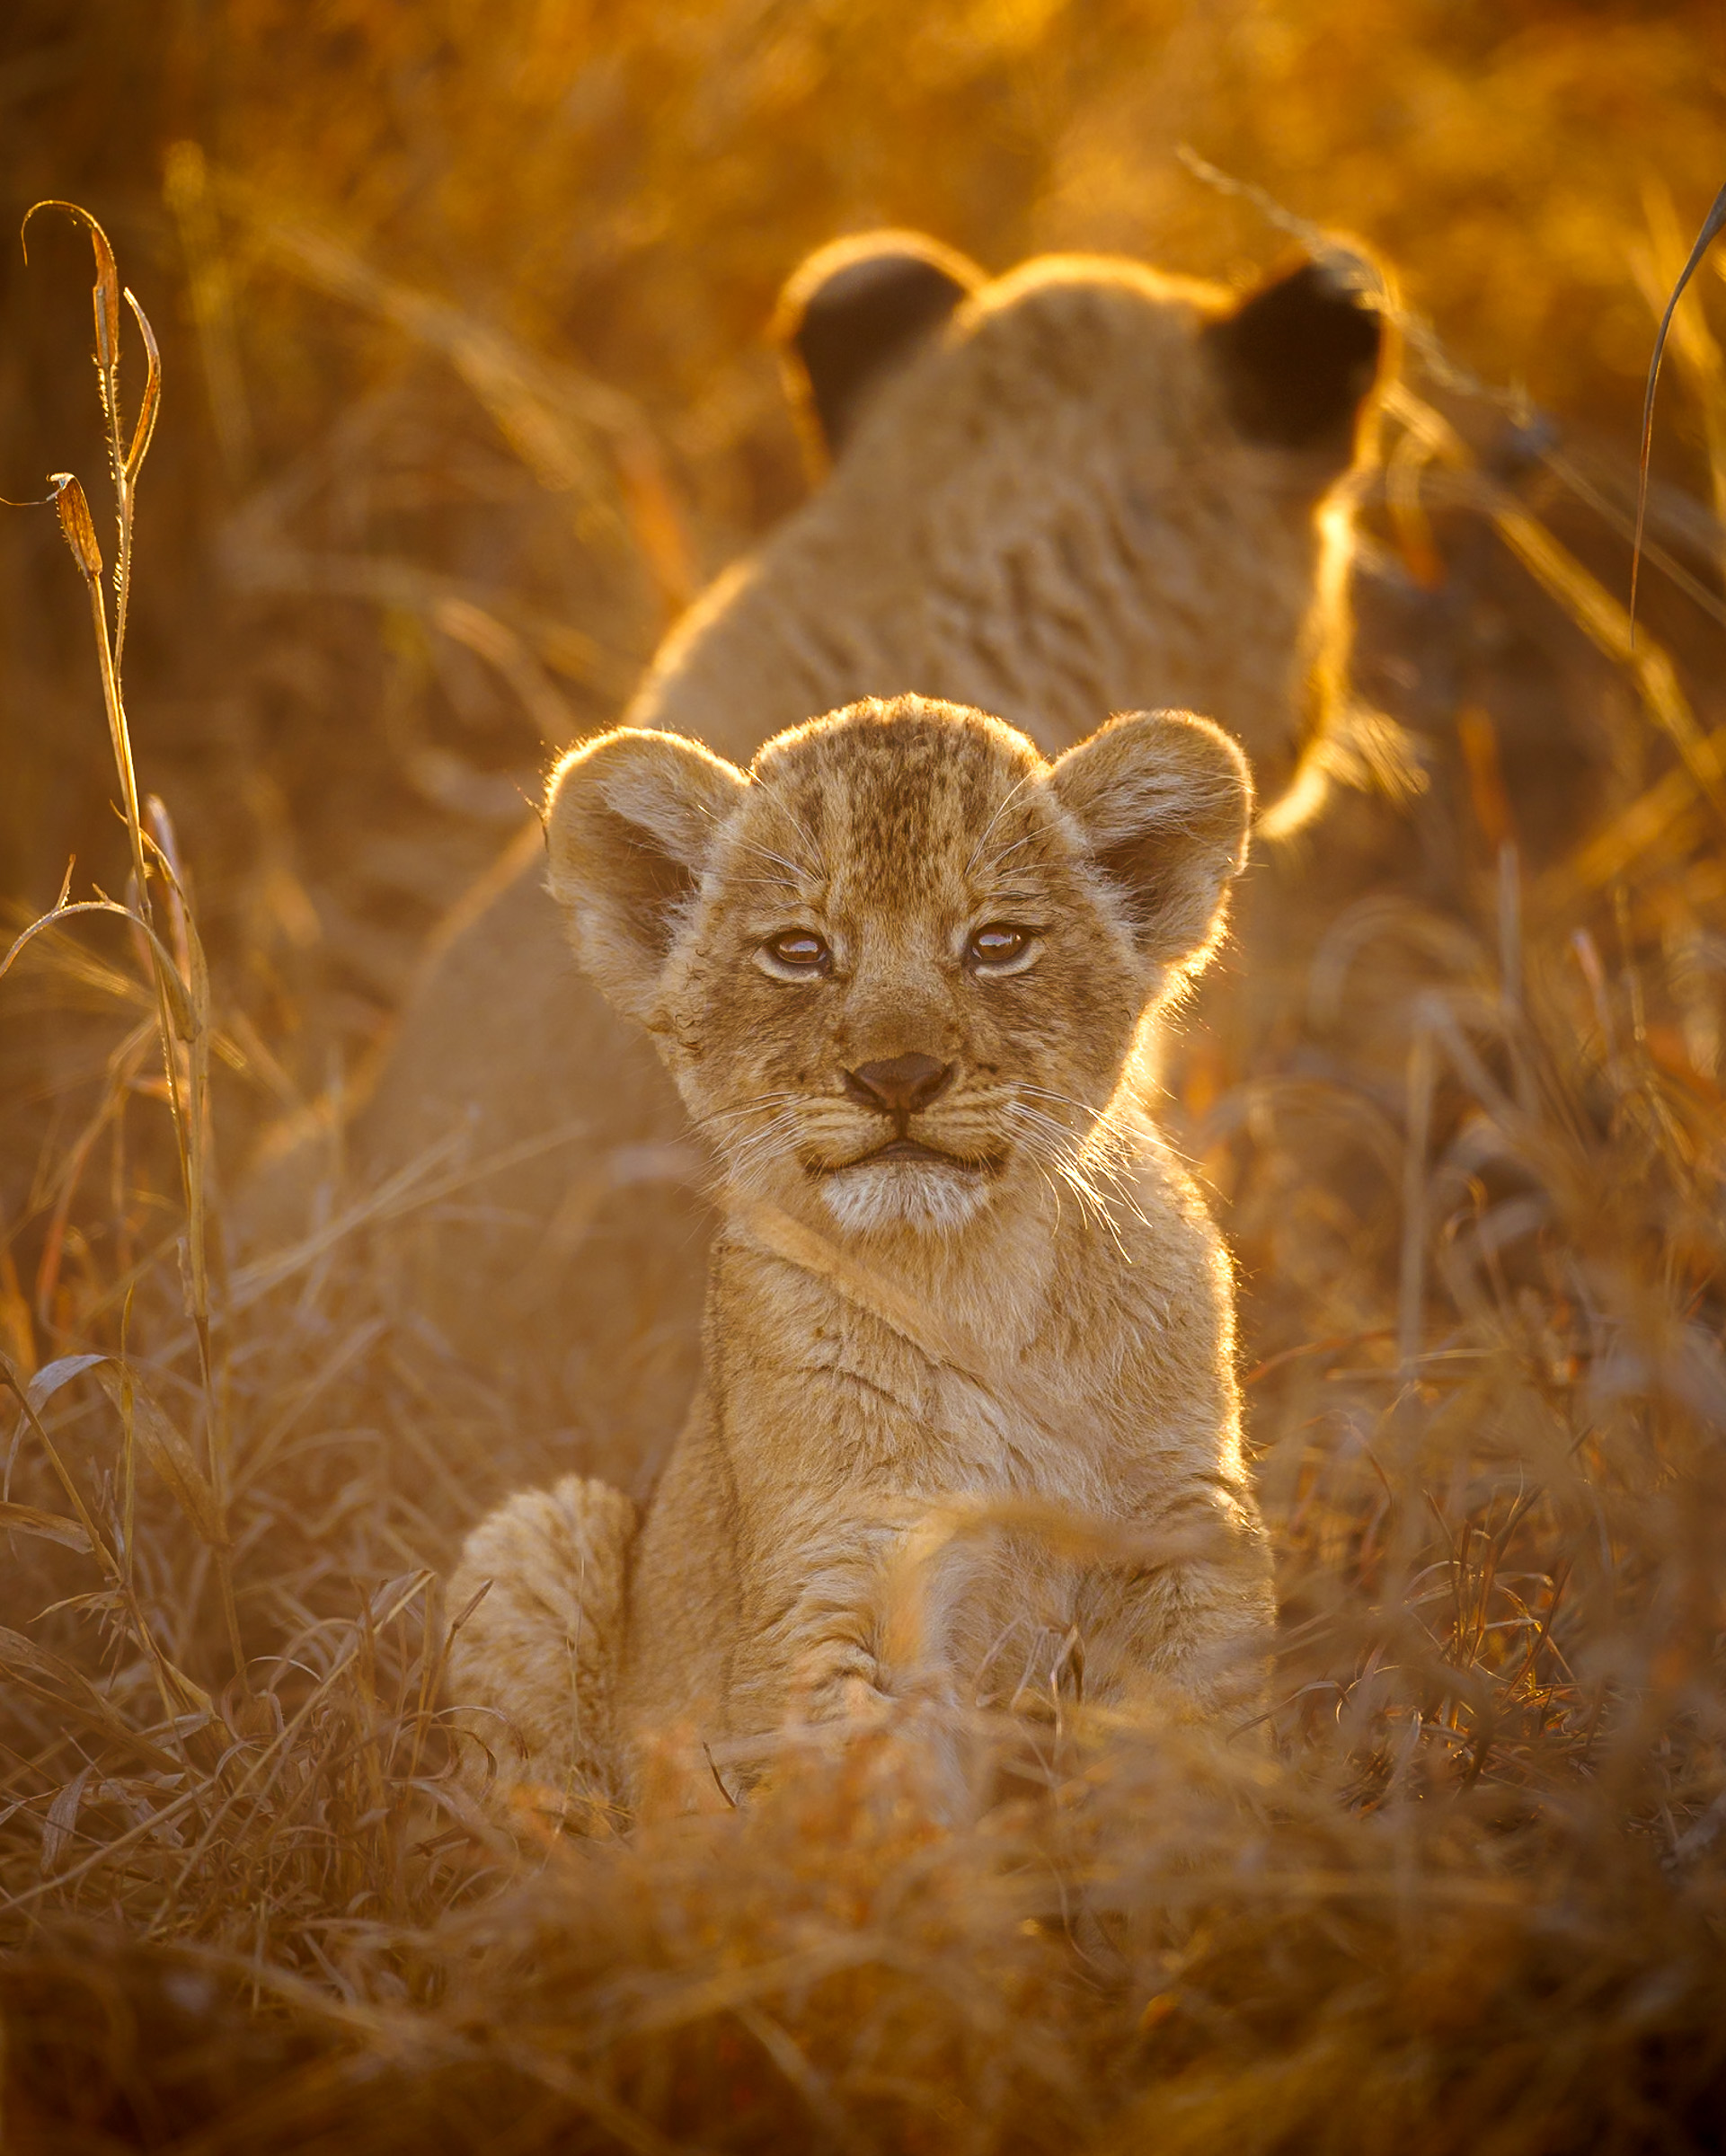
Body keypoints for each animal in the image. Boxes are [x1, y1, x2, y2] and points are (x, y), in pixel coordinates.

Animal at [446, 695, 1274, 1816]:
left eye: (997, 943)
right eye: (798, 951)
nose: (898, 1075)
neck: (970, 1284)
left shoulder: (1184, 1528)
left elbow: (1197, 1745)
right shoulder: (830, 1578)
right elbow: (868, 1800)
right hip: (537, 1534)